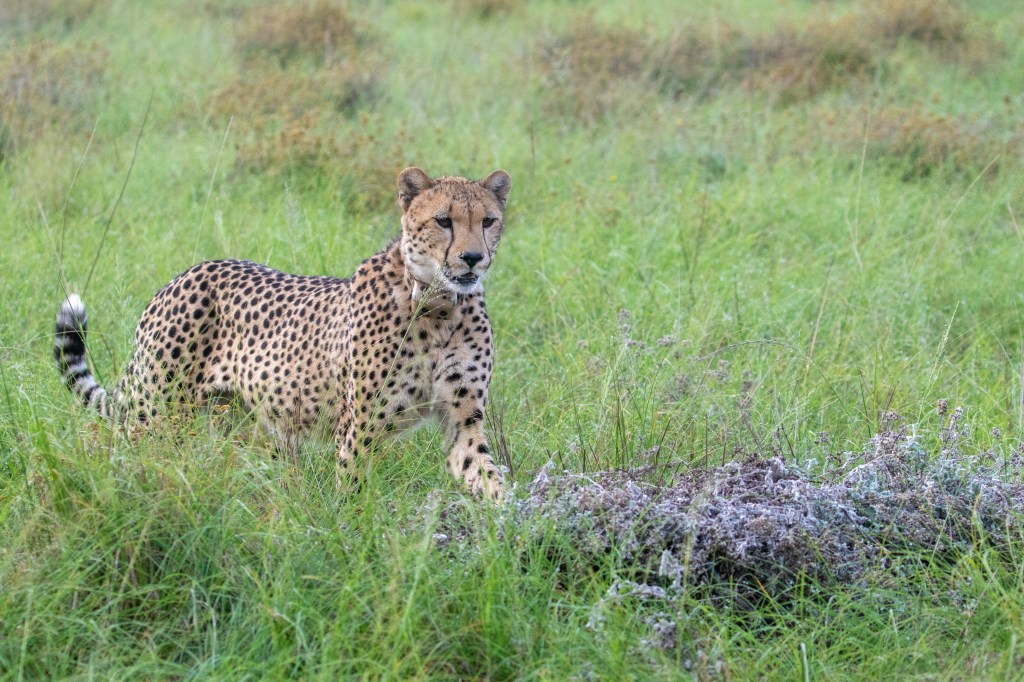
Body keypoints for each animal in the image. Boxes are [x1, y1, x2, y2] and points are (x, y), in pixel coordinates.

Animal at [53, 167, 511, 500]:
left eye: (488, 221)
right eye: (443, 221)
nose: (473, 258)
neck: (439, 305)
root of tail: (184, 274)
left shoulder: (463, 419)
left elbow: (487, 474)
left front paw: (510, 533)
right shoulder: (360, 426)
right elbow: (352, 490)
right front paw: (352, 538)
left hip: (240, 422)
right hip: (155, 410)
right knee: (114, 447)